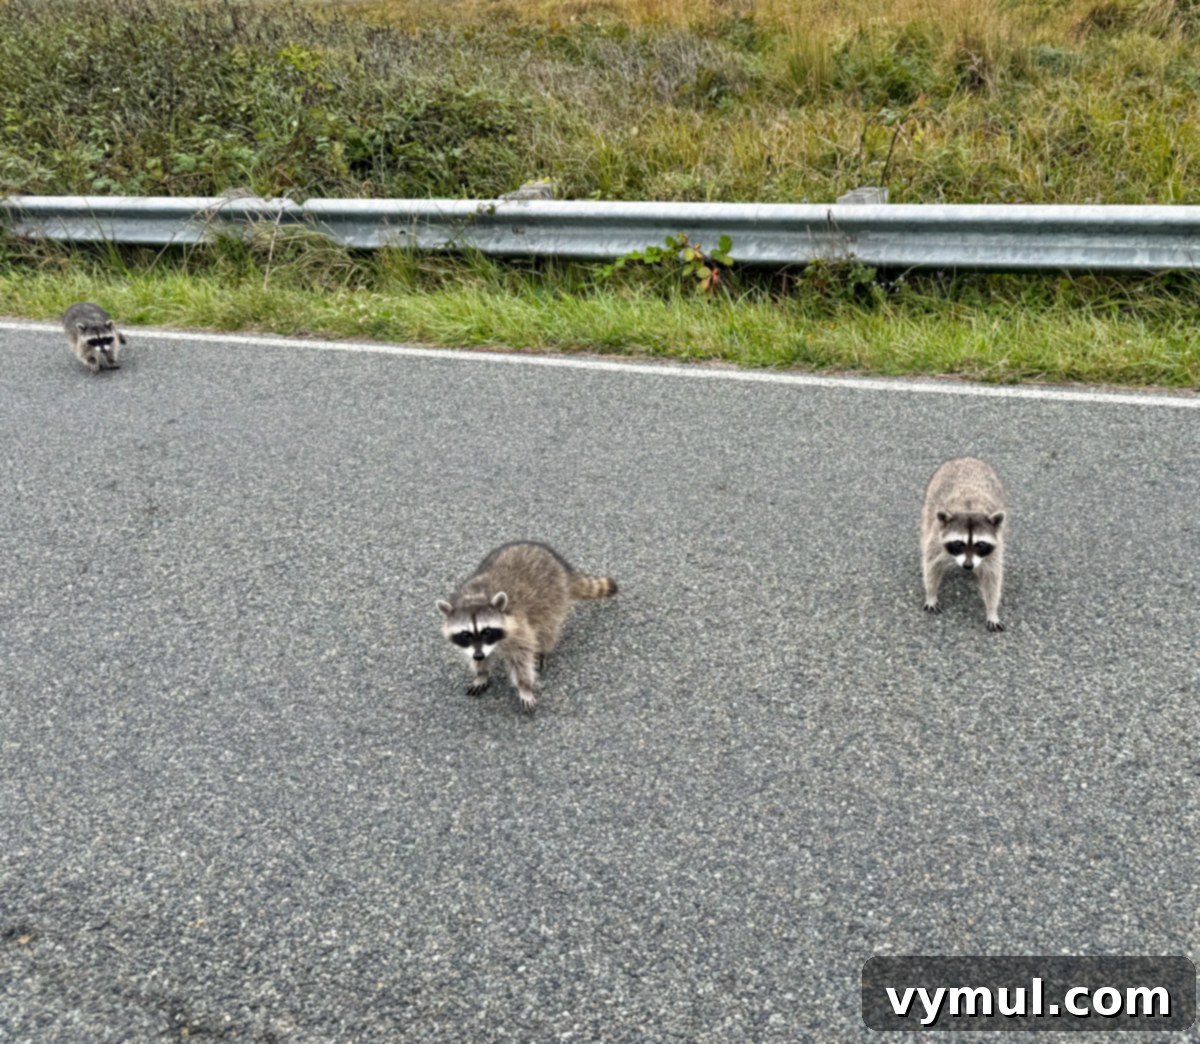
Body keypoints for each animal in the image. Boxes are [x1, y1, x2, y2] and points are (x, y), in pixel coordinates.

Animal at [437, 541, 617, 713]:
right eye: (466, 634)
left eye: (487, 631)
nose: (479, 656)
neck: (475, 598)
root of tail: (560, 565)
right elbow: (474, 656)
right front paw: (481, 673)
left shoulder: (518, 628)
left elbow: (522, 658)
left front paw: (524, 687)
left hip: (553, 597)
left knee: (548, 627)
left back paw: (543, 649)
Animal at [921, 457, 1008, 631]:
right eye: (958, 543)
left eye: (980, 544)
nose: (968, 565)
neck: (970, 509)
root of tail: (966, 458)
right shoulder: (937, 539)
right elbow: (931, 565)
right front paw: (931, 593)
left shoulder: (996, 546)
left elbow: (992, 577)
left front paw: (992, 610)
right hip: (930, 502)